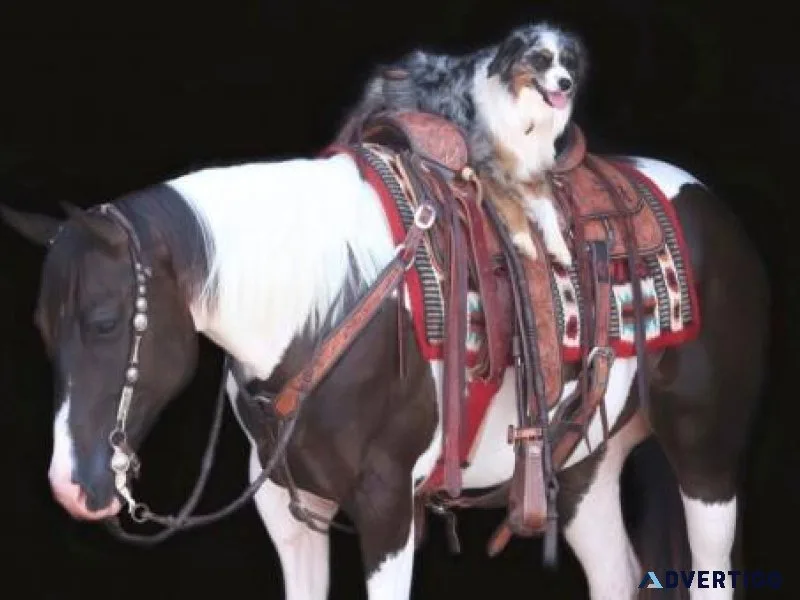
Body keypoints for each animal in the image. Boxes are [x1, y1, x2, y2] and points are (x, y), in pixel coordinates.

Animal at [1, 112, 769, 600]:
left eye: (104, 323)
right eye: (41, 329)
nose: (71, 486)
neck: (325, 302)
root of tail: (706, 205)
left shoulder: (387, 506)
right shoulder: (287, 508)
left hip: (705, 456)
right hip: (584, 466)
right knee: (615, 574)